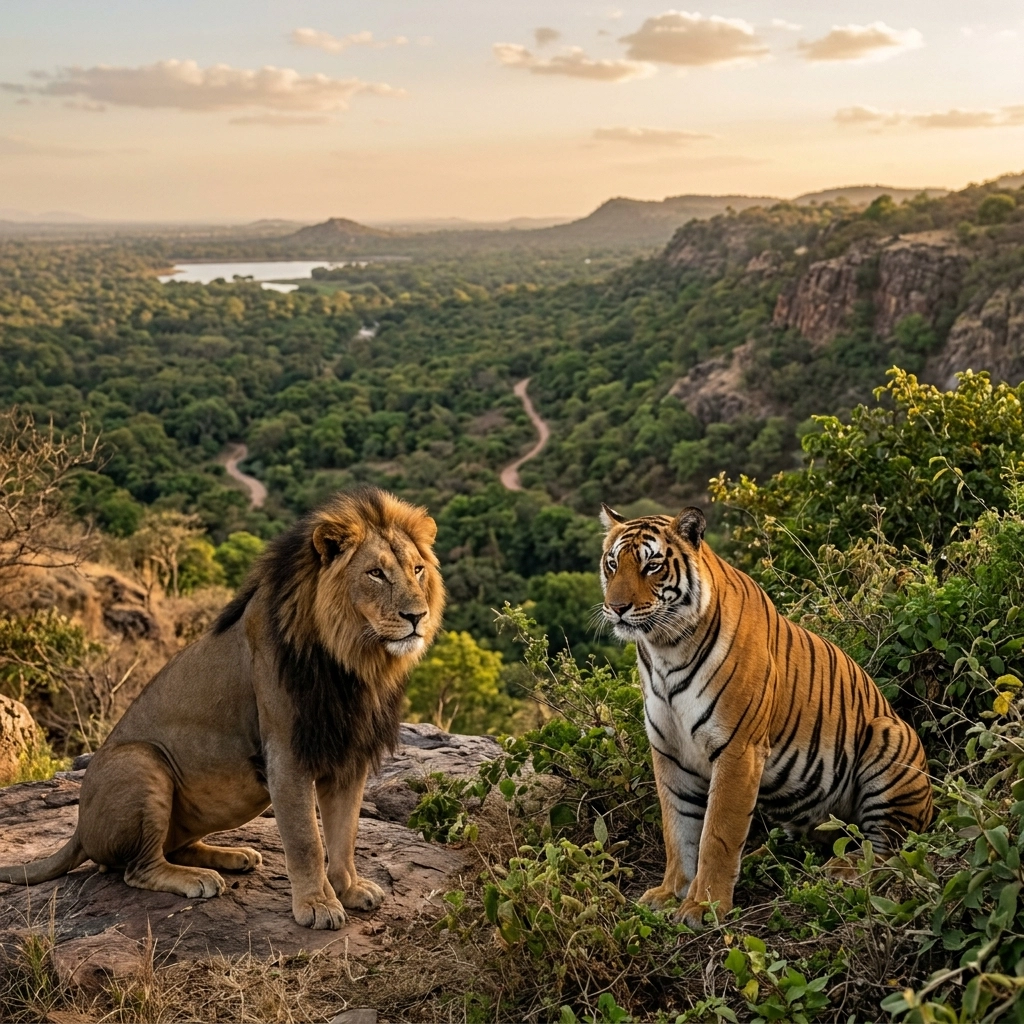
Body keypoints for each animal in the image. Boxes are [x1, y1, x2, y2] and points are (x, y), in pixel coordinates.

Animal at [0, 487, 444, 930]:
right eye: (376, 573)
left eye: (417, 569)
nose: (417, 616)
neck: (352, 662)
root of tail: (78, 828)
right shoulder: (287, 754)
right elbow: (307, 840)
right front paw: (317, 904)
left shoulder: (348, 754)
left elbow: (344, 834)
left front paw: (349, 889)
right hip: (141, 762)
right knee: (137, 868)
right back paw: (198, 878)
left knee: (172, 847)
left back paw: (232, 856)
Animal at [599, 504, 933, 930]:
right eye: (612, 564)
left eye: (652, 566)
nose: (616, 608)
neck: (665, 650)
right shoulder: (669, 752)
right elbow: (678, 829)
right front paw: (670, 892)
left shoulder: (738, 750)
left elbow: (717, 834)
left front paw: (703, 905)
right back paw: (761, 860)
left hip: (888, 736)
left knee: (893, 845)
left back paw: (844, 868)